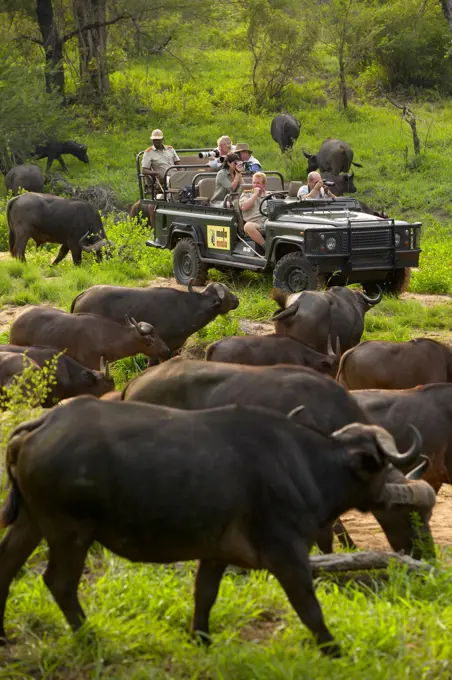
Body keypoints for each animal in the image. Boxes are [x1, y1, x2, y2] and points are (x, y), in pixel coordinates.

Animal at [0, 396, 432, 656]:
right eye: (382, 464)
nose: (392, 491)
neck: (305, 467)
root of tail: (41, 424)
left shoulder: (215, 553)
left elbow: (204, 595)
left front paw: (202, 638)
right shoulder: (287, 553)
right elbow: (309, 607)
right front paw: (333, 649)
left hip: (32, 522)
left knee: (7, 566)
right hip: (69, 531)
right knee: (59, 583)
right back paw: (89, 637)